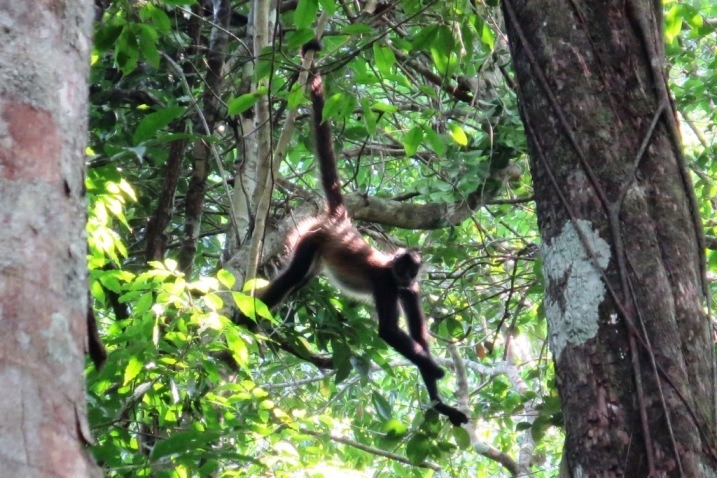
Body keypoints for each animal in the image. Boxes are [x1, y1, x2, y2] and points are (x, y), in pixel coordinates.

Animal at [243, 43, 470, 428]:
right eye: (401, 269)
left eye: (412, 271)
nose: (406, 277)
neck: (394, 277)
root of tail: (342, 224)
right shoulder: (385, 283)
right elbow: (390, 333)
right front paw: (435, 371)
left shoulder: (410, 291)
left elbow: (418, 337)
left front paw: (440, 402)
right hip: (312, 239)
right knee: (291, 277)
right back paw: (245, 318)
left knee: (300, 280)